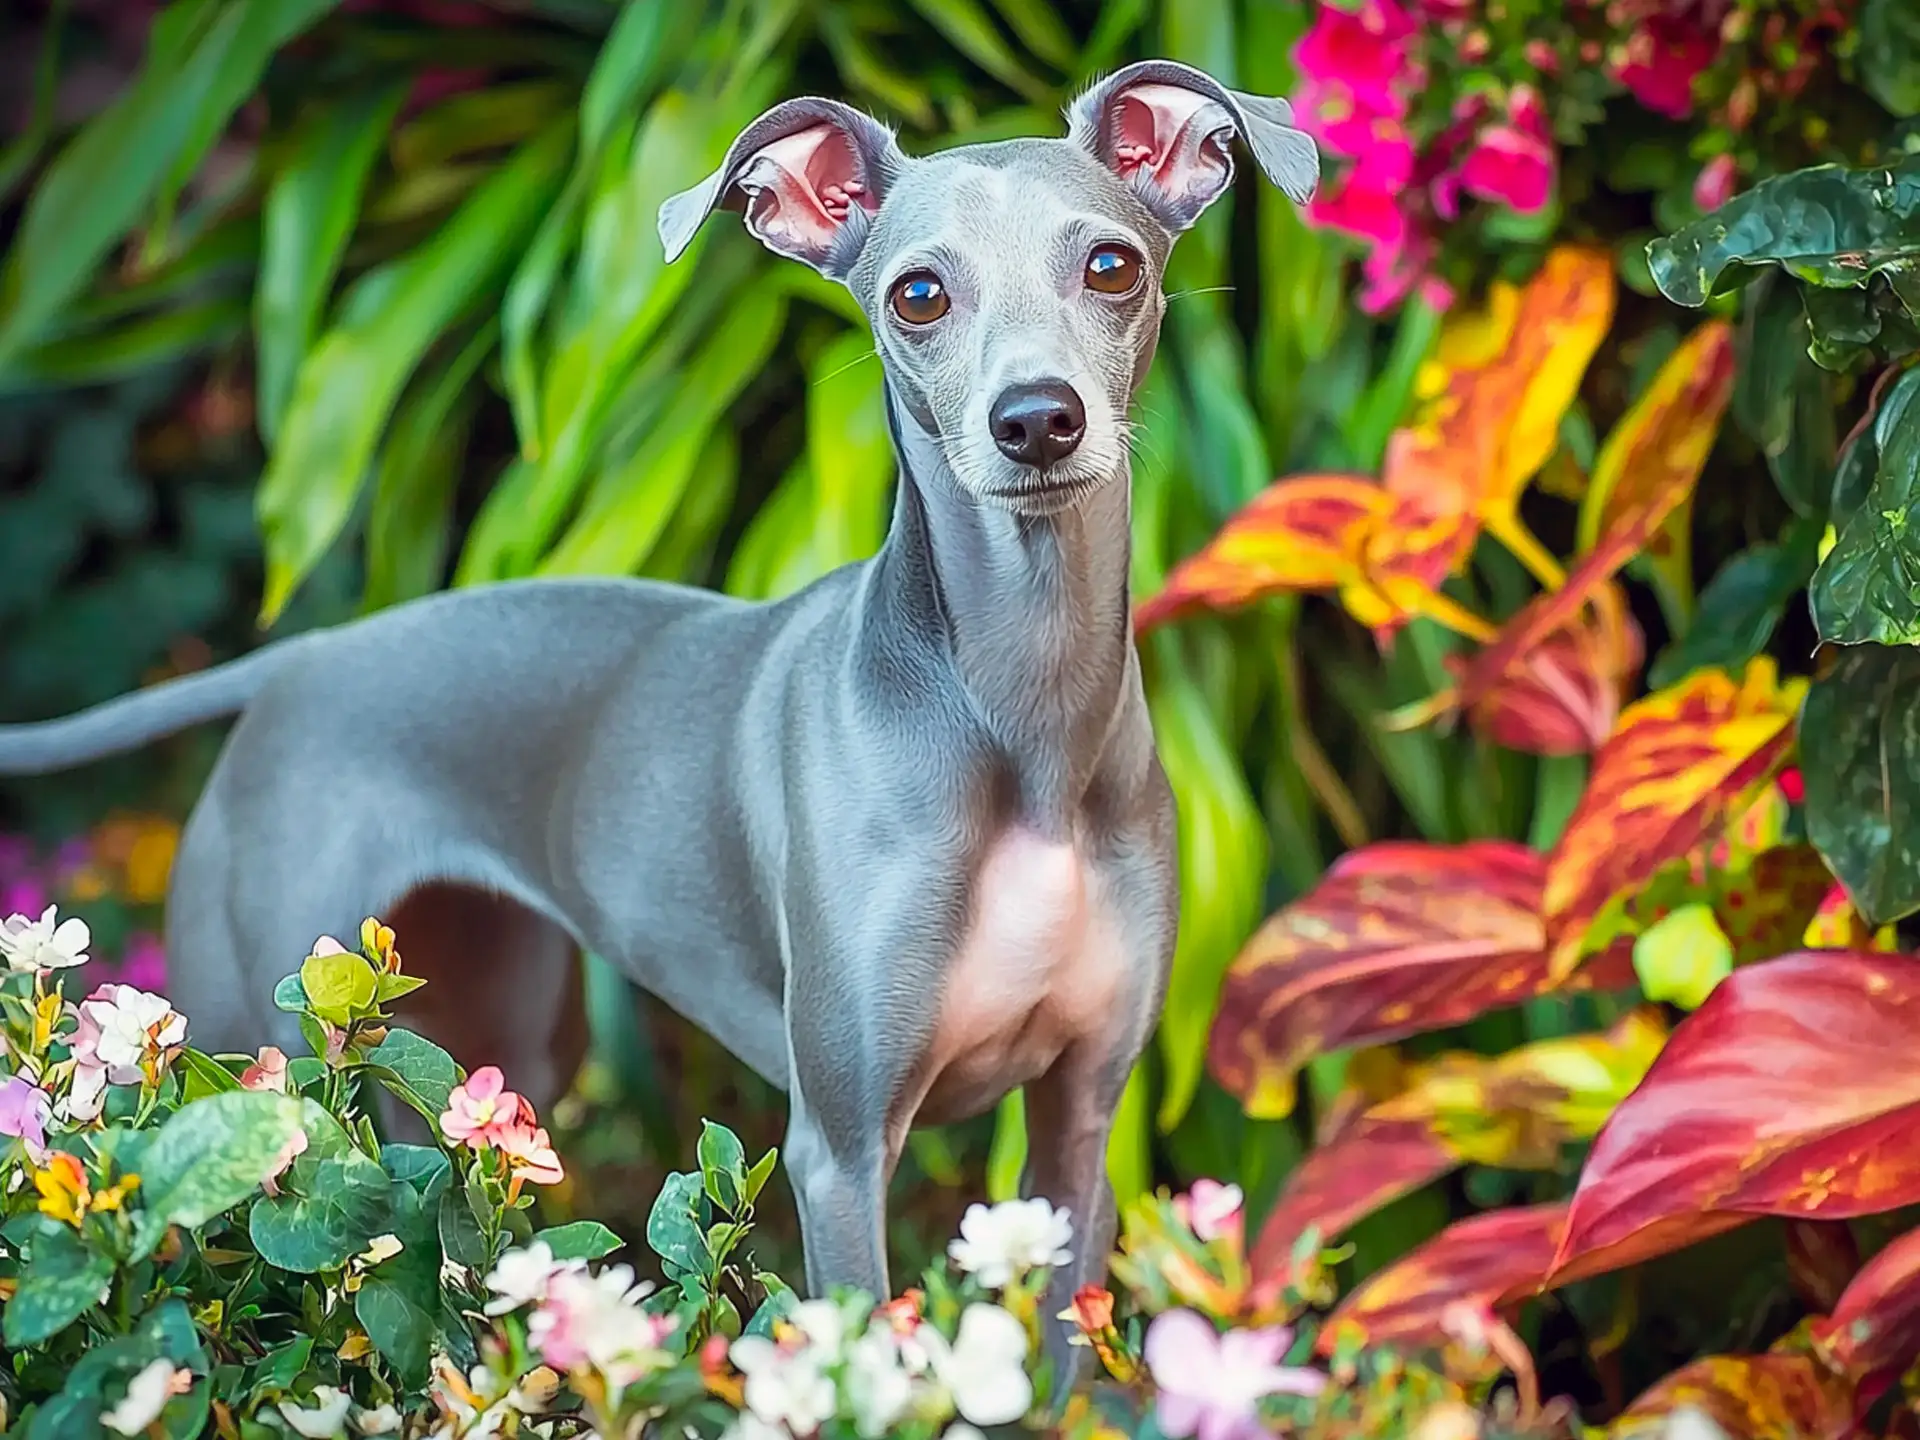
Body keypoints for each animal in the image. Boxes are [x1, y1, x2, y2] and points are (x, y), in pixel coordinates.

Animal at [0, 56, 1320, 1359]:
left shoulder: (1078, 1133)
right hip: (239, 1054)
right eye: (918, 295)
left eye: (1112, 265)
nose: (1037, 419)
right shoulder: (840, 1152)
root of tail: (299, 659)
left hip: (487, 1060)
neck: (1016, 718)